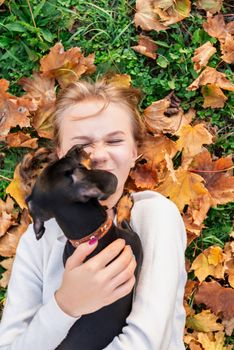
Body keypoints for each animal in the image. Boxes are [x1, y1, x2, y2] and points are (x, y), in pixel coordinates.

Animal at [25, 144, 143, 350]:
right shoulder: (135, 243)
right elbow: (123, 219)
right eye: (73, 160)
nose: (78, 146)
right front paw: (124, 203)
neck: (90, 236)